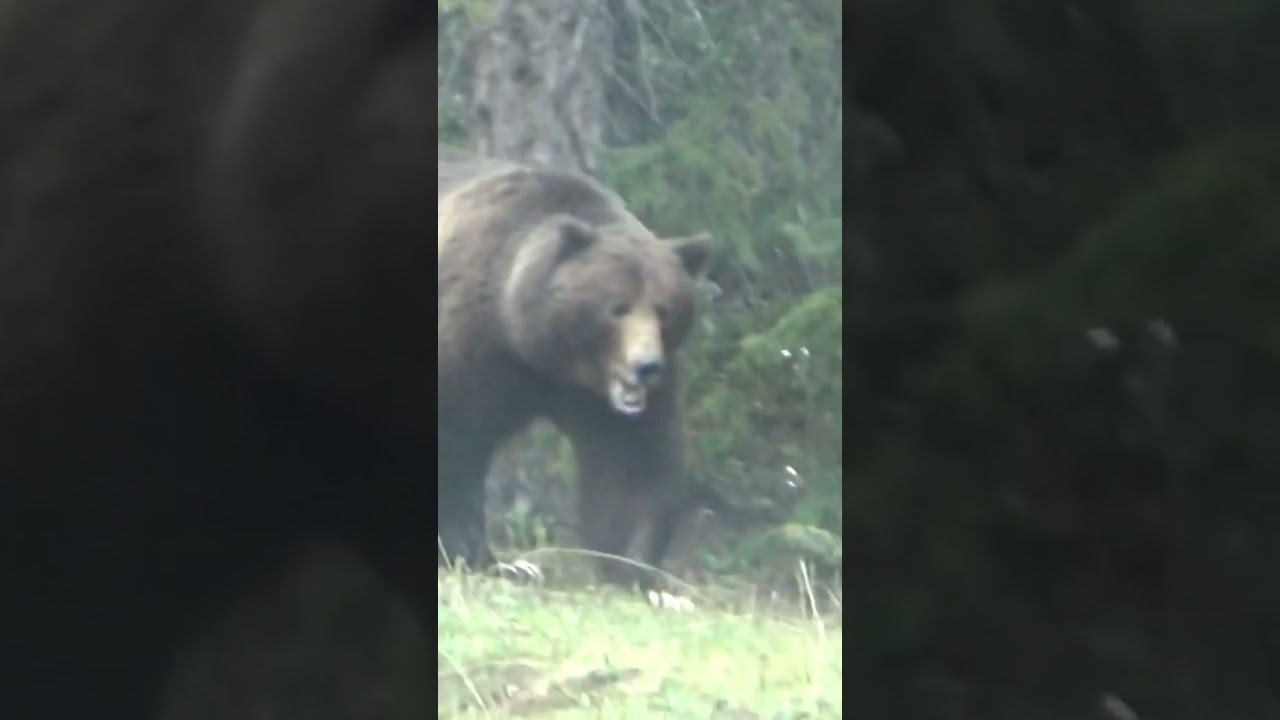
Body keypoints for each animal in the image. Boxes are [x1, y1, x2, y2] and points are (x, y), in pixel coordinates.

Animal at [436, 151, 713, 588]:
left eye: (665, 310)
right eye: (618, 307)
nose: (646, 366)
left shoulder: (600, 399)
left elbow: (634, 461)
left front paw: (631, 564)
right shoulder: (471, 354)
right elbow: (454, 445)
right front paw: (476, 553)